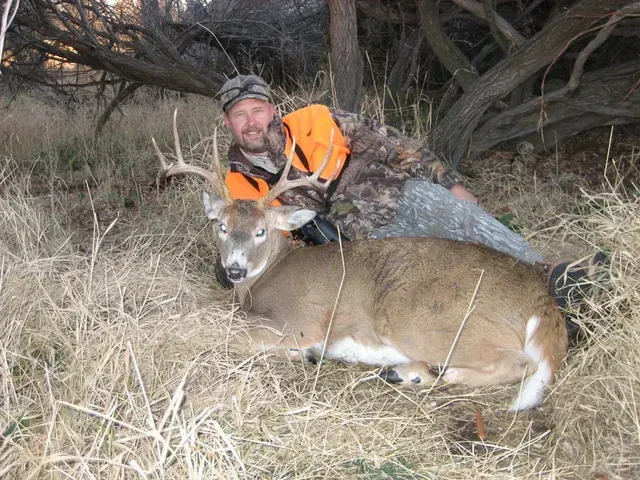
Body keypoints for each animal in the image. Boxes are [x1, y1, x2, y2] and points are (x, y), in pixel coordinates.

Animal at [153, 111, 568, 411]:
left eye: (261, 232)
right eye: (221, 226)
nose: (235, 269)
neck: (266, 277)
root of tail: (541, 301)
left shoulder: (297, 322)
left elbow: (223, 333)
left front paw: (299, 355)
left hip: (430, 321)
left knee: (519, 364)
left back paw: (437, 374)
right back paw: (403, 373)